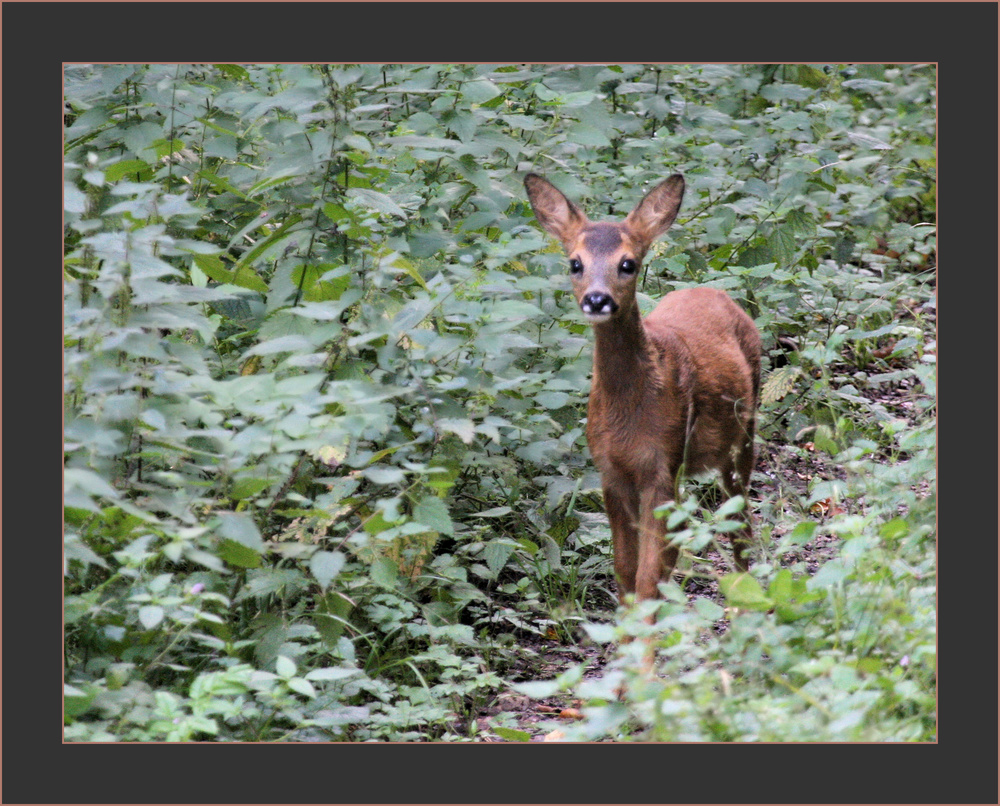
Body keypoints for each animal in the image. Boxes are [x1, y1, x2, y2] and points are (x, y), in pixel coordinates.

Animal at [524, 175, 756, 608]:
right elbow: (625, 572)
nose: (597, 299)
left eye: (627, 264)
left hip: (743, 435)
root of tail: (713, 292)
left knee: (741, 522)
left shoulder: (661, 465)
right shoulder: (609, 471)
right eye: (575, 263)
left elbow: (649, 576)